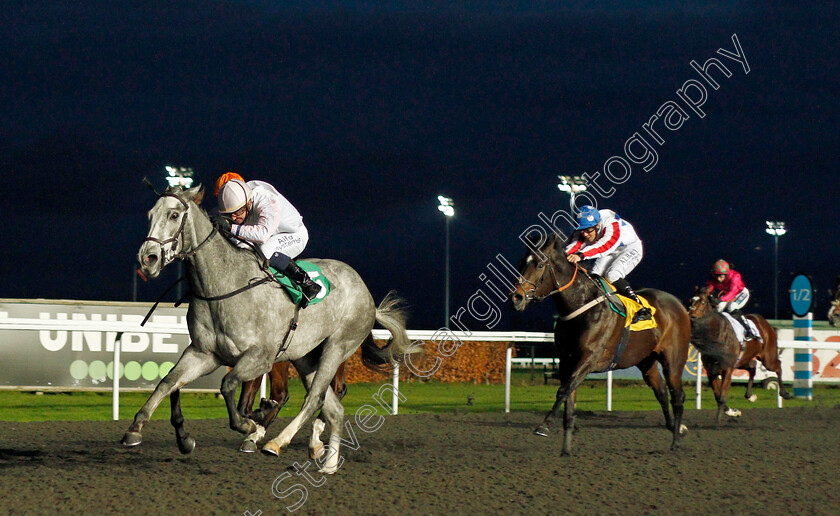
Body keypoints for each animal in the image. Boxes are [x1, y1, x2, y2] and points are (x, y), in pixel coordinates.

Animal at [122, 183, 414, 474]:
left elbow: (228, 385)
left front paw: (249, 424)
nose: (148, 258)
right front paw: (138, 429)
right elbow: (168, 382)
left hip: (337, 347)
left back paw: (276, 442)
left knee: (314, 399)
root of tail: (367, 294)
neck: (223, 287)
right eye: (150, 214)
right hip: (306, 357)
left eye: (173, 215)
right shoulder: (203, 354)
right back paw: (328, 462)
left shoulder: (260, 358)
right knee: (332, 408)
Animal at [512, 235, 688, 456]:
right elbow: (569, 399)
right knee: (662, 392)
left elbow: (563, 391)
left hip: (673, 359)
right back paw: (676, 428)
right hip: (646, 360)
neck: (580, 306)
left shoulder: (588, 359)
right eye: (521, 263)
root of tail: (679, 304)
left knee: (677, 395)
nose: (516, 297)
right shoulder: (566, 362)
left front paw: (543, 426)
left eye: (540, 265)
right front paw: (566, 449)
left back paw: (676, 442)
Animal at [684, 284, 792, 418]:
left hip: (768, 358)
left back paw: (784, 393)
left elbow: (721, 396)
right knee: (753, 365)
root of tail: (765, 323)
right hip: (742, 360)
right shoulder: (711, 370)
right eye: (691, 301)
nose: (690, 317)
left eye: (703, 302)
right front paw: (732, 411)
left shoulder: (727, 368)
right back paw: (750, 396)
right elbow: (718, 395)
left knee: (777, 366)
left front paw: (720, 418)